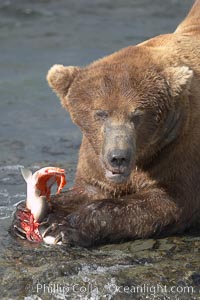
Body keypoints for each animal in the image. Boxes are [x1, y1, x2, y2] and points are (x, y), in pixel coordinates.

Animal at [12, 0, 200, 246]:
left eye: (137, 115)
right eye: (100, 113)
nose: (118, 157)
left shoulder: (181, 149)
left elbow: (169, 202)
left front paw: (62, 227)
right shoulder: (95, 154)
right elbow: (90, 188)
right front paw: (24, 216)